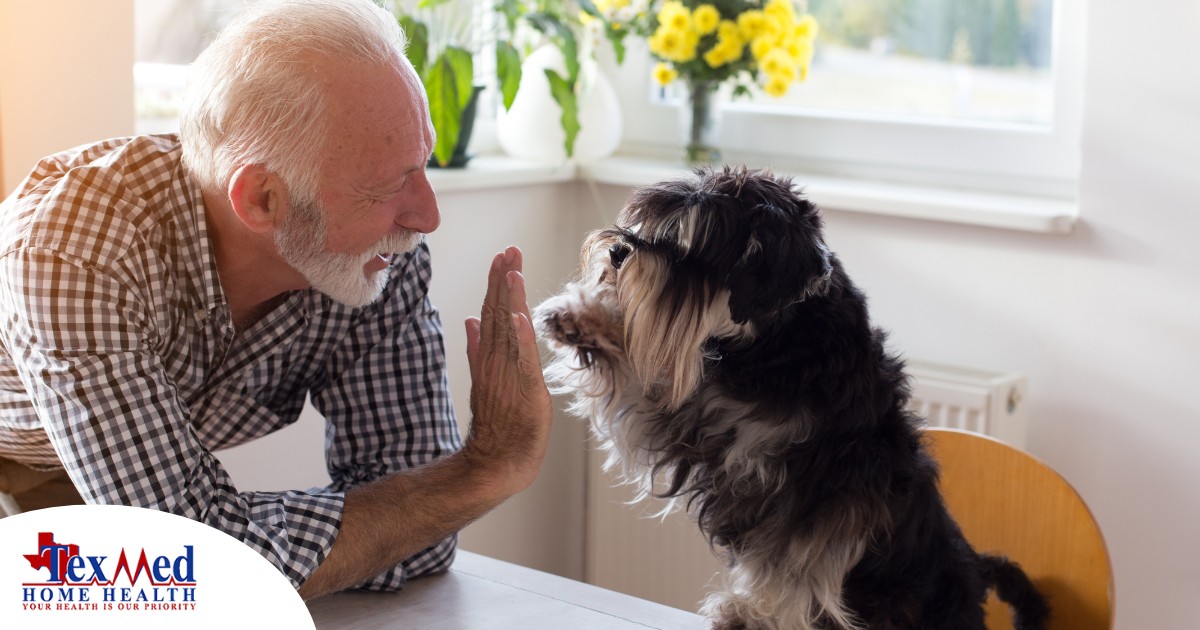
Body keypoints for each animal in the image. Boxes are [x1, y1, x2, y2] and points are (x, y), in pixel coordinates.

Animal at [535, 166, 1051, 628]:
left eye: (695, 246)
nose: (618, 250)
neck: (777, 346)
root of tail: (976, 574)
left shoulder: (824, 492)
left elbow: (794, 563)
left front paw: (753, 614)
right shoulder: (694, 418)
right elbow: (640, 380)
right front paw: (579, 317)